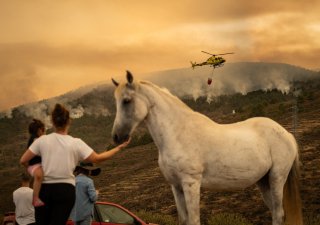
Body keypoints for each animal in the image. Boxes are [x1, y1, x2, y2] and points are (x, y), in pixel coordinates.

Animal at [112, 71, 302, 225]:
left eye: (126, 101)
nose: (117, 137)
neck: (178, 133)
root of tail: (287, 134)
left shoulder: (191, 183)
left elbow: (194, 220)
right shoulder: (176, 186)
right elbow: (184, 220)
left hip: (277, 178)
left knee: (278, 214)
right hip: (263, 181)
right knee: (276, 213)